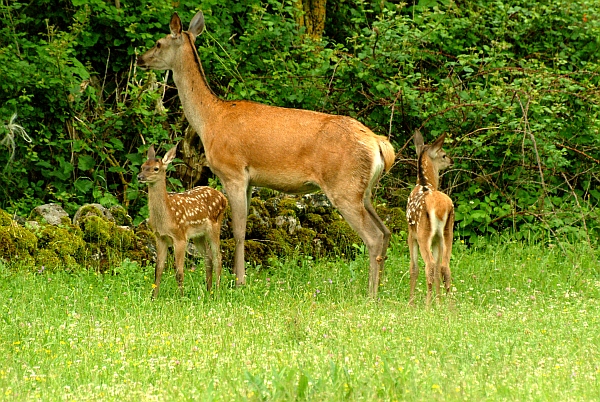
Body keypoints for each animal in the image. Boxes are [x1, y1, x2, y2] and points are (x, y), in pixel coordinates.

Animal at [138, 144, 227, 298]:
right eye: (143, 166)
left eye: (156, 168)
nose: (140, 177)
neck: (167, 216)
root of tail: (223, 197)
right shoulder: (160, 237)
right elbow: (158, 269)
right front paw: (153, 297)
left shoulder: (180, 237)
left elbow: (179, 272)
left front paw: (181, 296)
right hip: (198, 235)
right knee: (208, 257)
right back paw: (208, 290)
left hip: (215, 226)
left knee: (218, 257)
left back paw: (217, 291)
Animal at [408, 130, 454, 306]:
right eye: (444, 154)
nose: (451, 161)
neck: (425, 183)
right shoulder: (436, 240)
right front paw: (439, 302)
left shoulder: (411, 234)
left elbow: (414, 268)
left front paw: (411, 304)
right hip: (447, 233)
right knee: (444, 267)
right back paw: (450, 307)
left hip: (423, 233)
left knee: (430, 266)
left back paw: (427, 306)